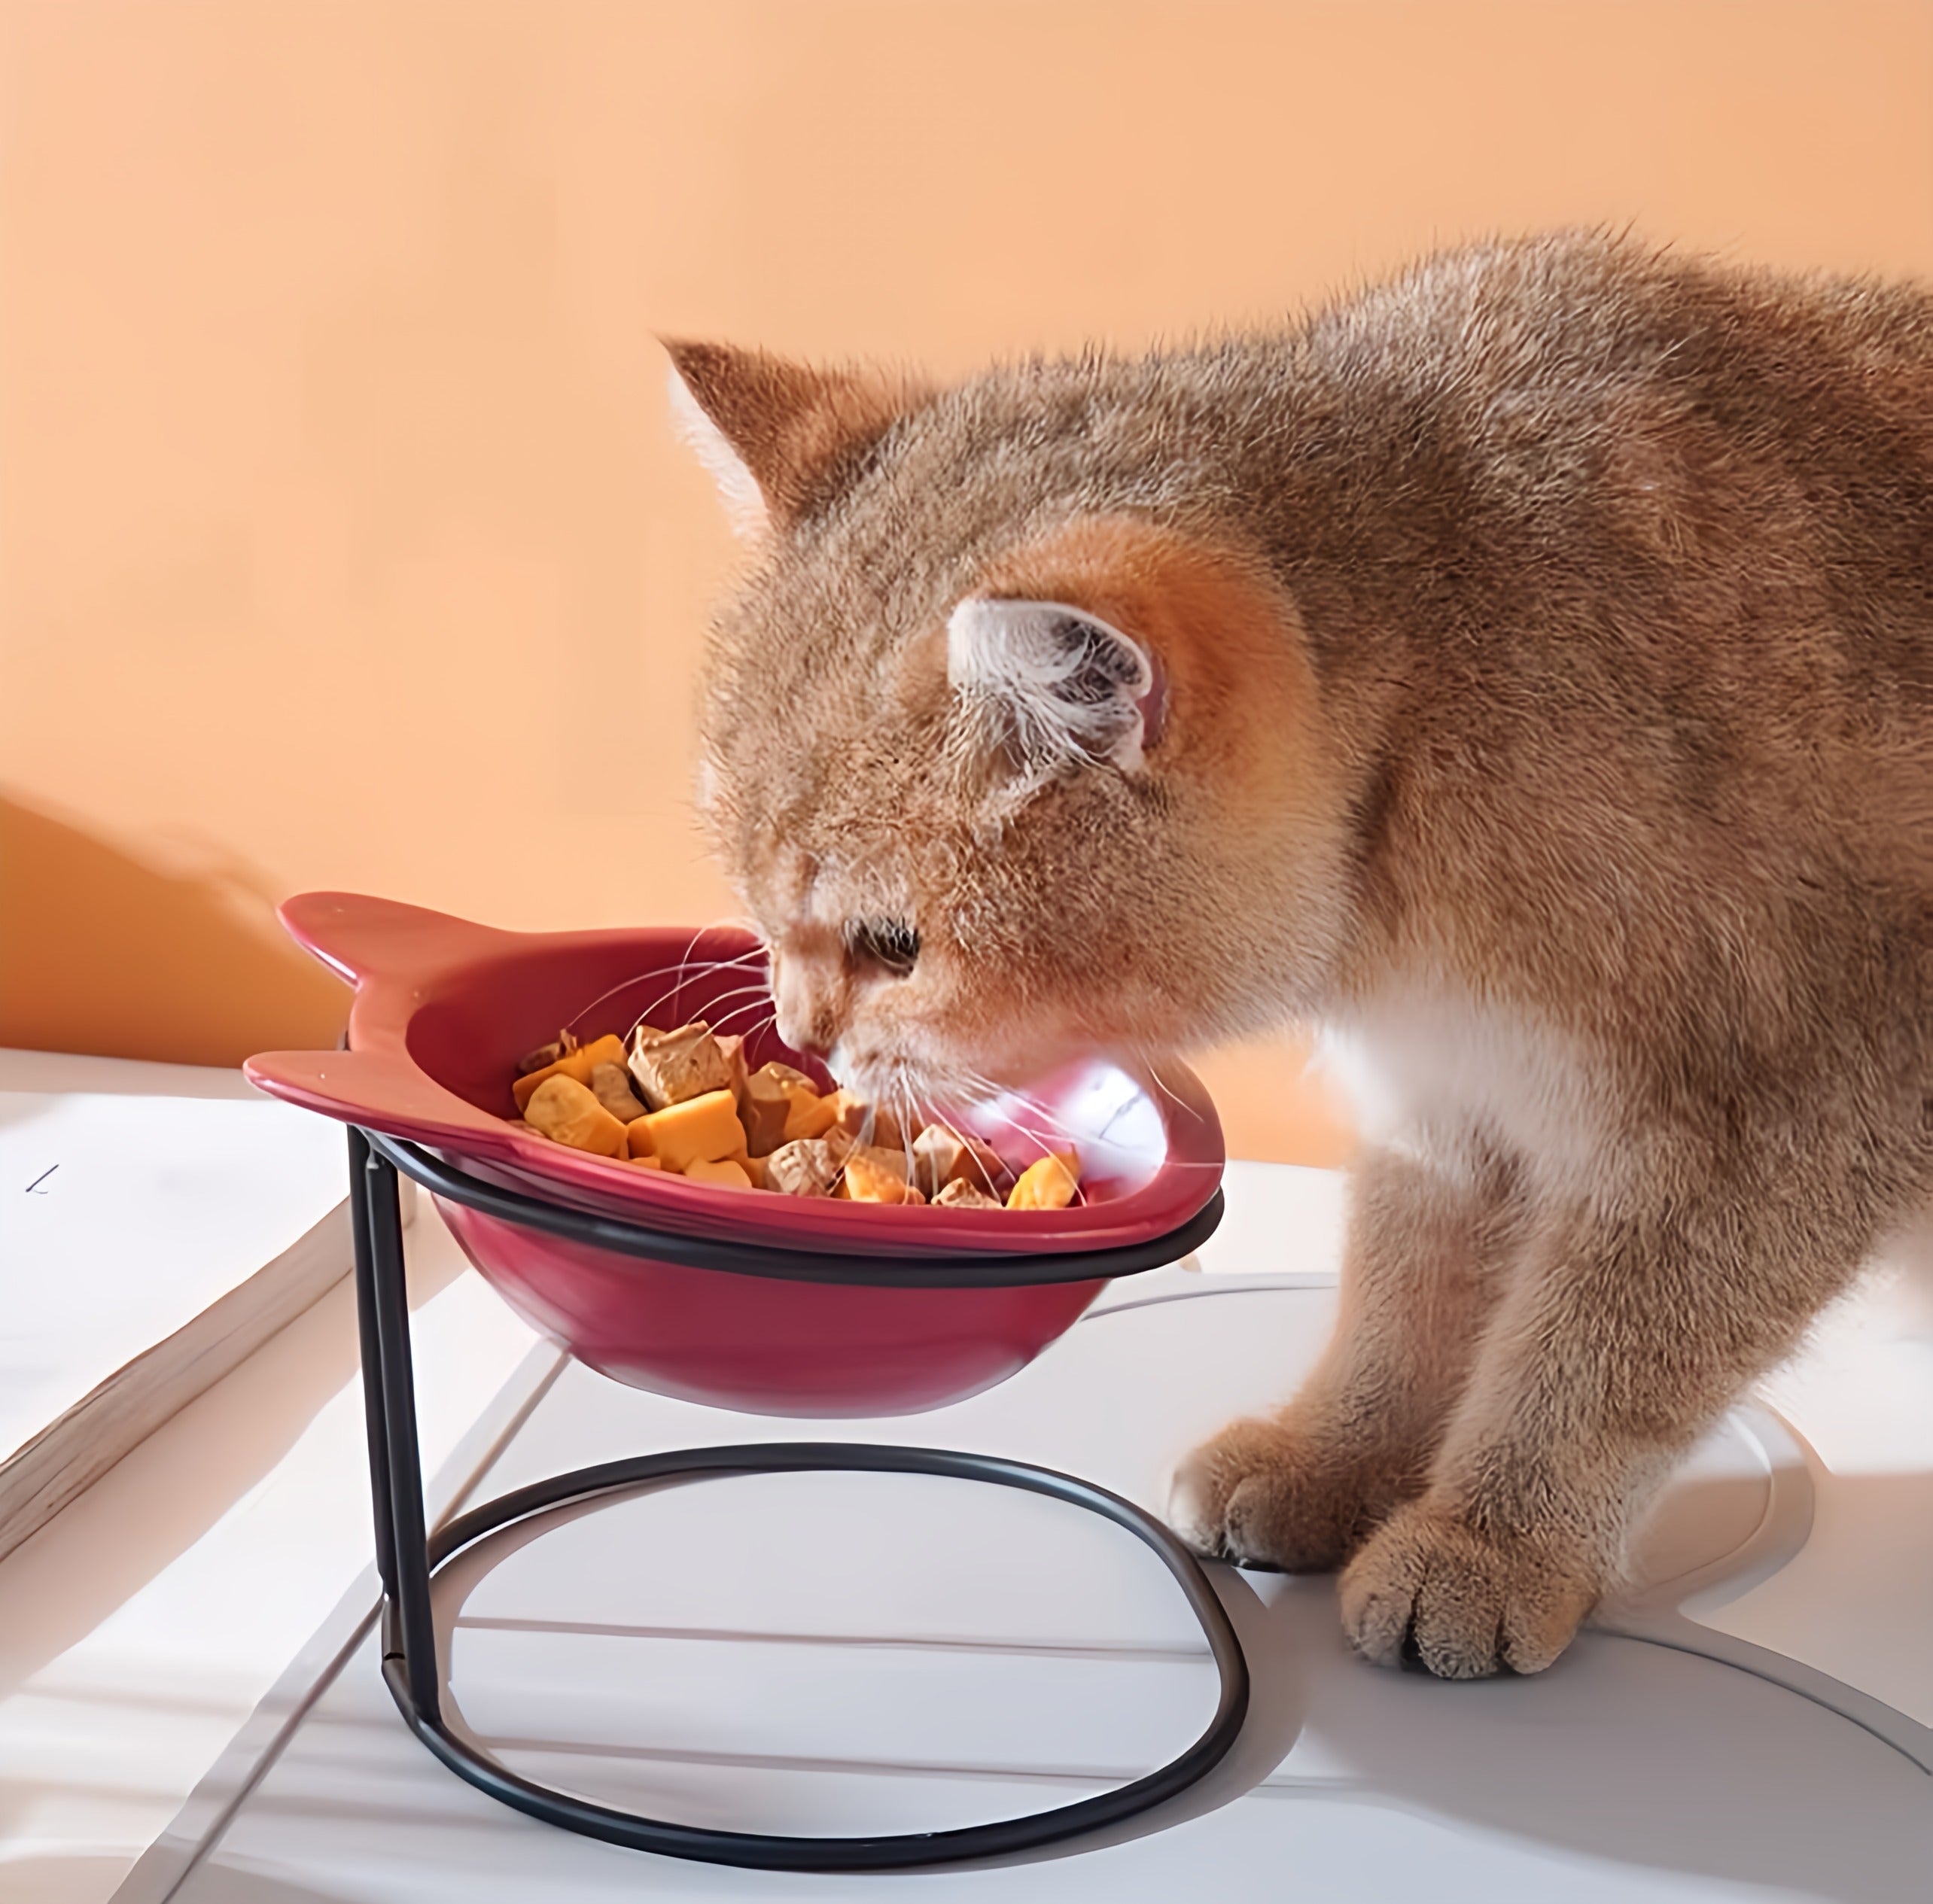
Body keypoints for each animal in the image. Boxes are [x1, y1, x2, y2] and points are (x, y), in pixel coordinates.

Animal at [668, 233, 1933, 1677]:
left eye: (894, 944)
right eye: (755, 903)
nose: (802, 1033)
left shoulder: (1783, 1118)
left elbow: (1602, 1353)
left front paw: (1490, 1539)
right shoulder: (1444, 1107)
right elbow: (1402, 1300)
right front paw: (1337, 1456)